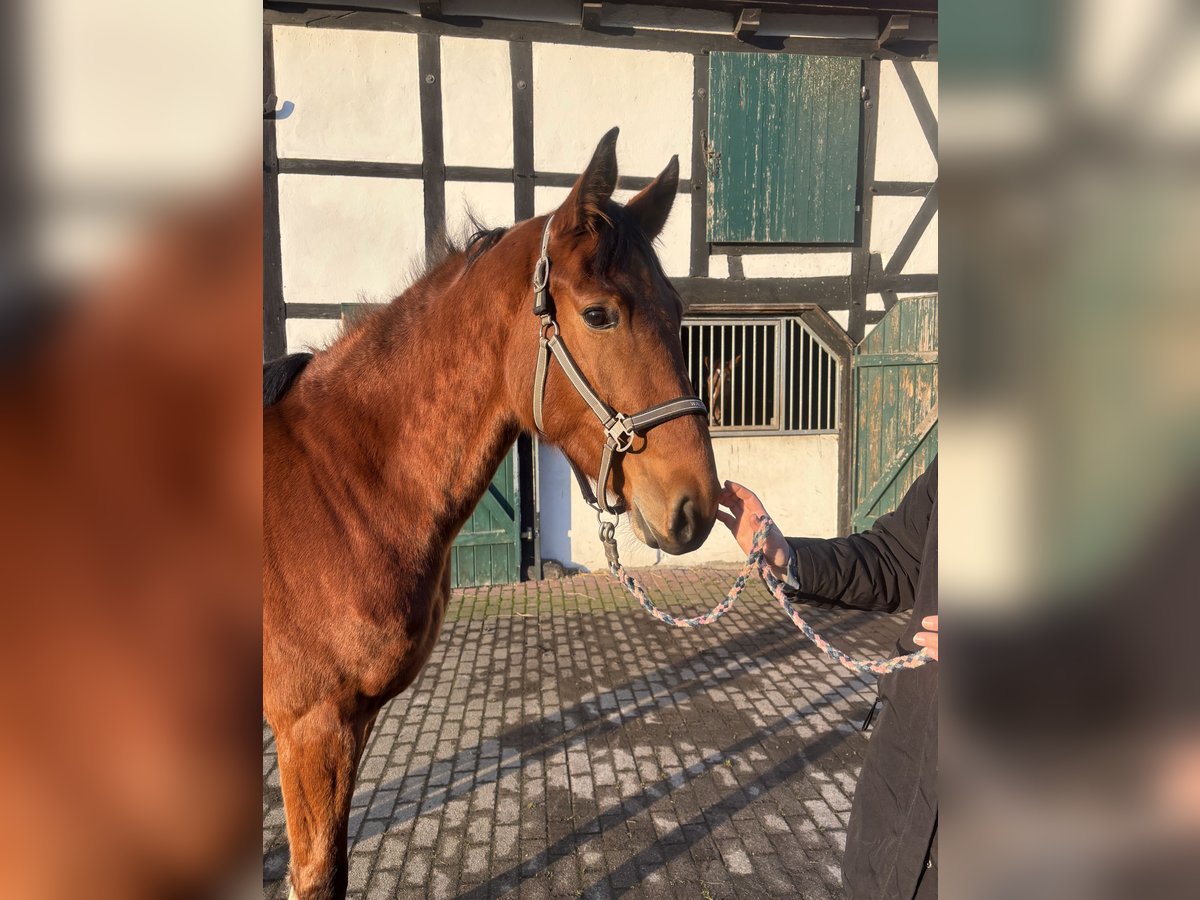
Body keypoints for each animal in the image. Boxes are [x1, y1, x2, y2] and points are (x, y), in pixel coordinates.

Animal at [264, 128, 720, 900]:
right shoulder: (309, 726)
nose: (698, 506)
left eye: (680, 309)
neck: (336, 486)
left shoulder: (348, 725)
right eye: (599, 313)